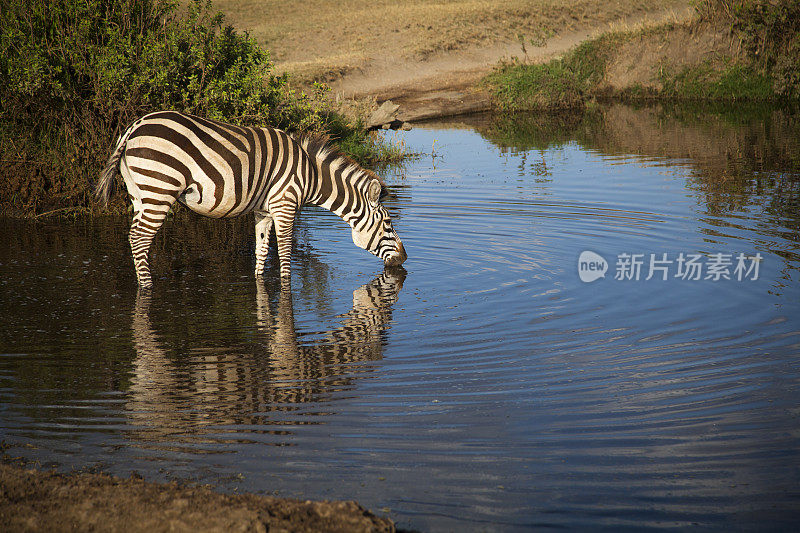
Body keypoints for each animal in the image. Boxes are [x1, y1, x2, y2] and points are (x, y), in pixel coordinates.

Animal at [95, 110, 406, 286]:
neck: (311, 175)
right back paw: (147, 288)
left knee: (134, 237)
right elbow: (284, 255)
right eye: (388, 224)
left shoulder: (264, 211)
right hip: (159, 188)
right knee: (139, 238)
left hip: (139, 193)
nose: (404, 259)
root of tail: (133, 127)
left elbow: (261, 251)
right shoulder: (285, 205)